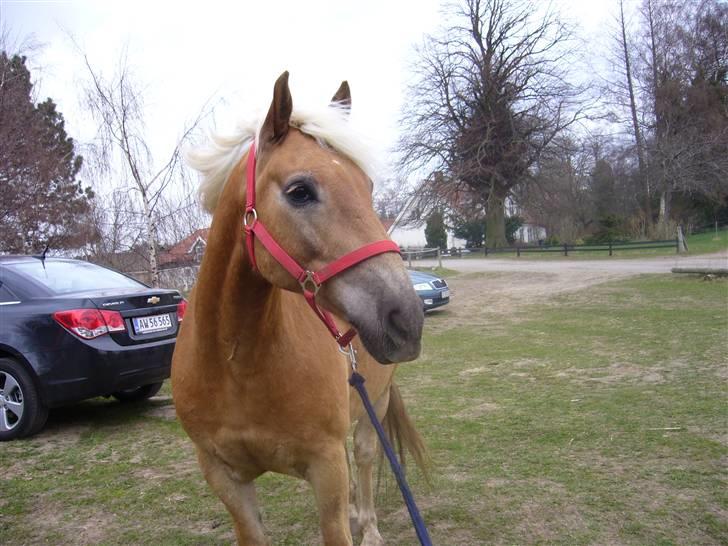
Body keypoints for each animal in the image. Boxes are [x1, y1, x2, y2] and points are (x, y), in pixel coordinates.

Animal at [172, 73, 426, 544]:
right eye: (300, 191)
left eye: (368, 188)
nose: (407, 319)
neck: (235, 365)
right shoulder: (224, 477)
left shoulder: (326, 469)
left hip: (376, 402)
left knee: (365, 457)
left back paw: (370, 528)